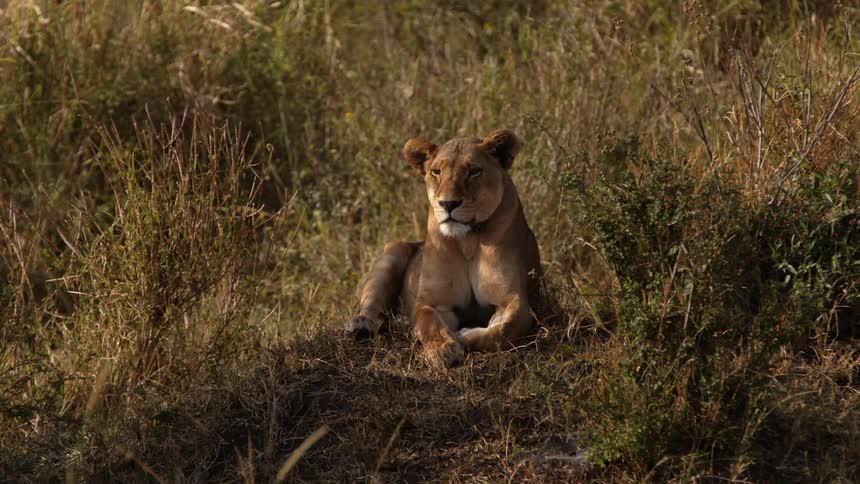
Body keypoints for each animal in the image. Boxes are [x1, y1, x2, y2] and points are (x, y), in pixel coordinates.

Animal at [345, 129, 542, 367]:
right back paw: (362, 325)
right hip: (393, 252)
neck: (468, 239)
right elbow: (429, 323)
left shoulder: (514, 300)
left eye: (474, 171)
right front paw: (441, 349)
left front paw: (462, 336)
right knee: (373, 303)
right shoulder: (433, 302)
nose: (448, 204)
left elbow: (503, 330)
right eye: (436, 171)